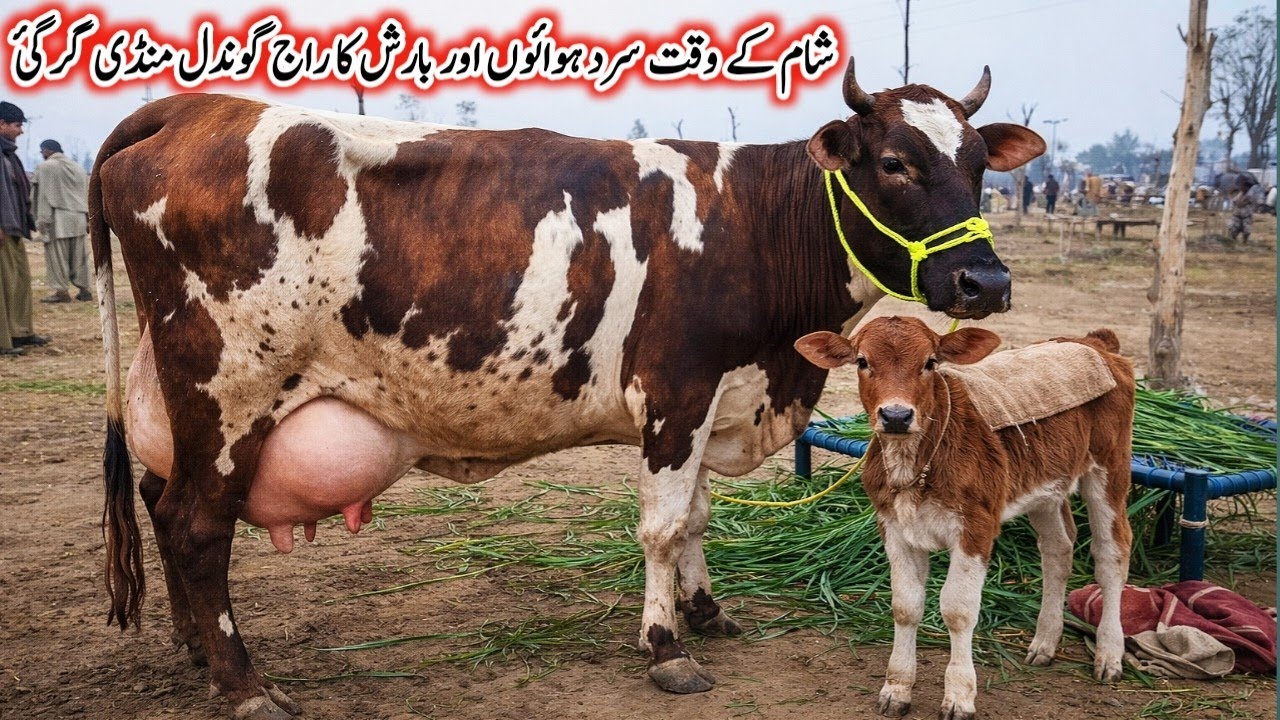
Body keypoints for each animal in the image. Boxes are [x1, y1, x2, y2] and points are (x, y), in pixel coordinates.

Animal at [92, 58, 1045, 718]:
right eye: (893, 162)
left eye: (978, 164)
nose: (987, 282)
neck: (751, 221)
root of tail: (191, 107)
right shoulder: (675, 392)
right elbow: (660, 525)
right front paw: (665, 647)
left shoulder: (715, 401)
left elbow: (695, 518)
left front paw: (706, 611)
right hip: (228, 387)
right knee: (195, 524)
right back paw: (244, 681)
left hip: (187, 400)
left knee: (158, 497)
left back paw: (193, 649)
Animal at [794, 318, 1135, 720]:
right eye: (862, 361)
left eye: (930, 362)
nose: (896, 416)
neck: (915, 464)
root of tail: (1095, 342)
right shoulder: (893, 526)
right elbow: (905, 606)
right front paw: (896, 689)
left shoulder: (977, 524)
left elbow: (957, 610)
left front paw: (959, 696)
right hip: (1045, 486)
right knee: (1058, 549)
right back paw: (1044, 642)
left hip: (1110, 466)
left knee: (1111, 553)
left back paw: (1109, 654)